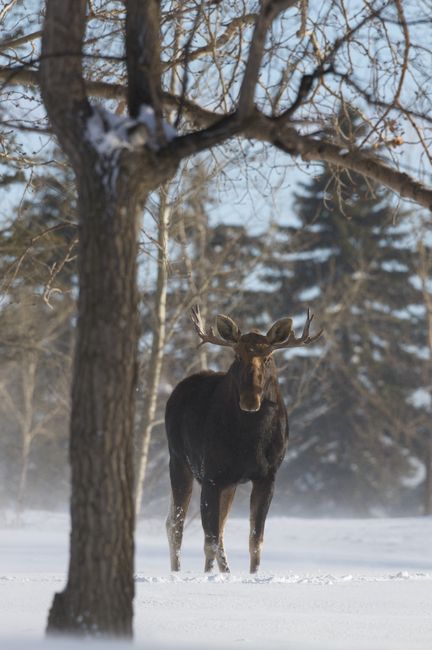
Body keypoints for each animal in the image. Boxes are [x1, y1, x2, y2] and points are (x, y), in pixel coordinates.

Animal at [165, 306, 322, 574]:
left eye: (268, 357)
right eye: (237, 356)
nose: (250, 400)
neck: (250, 442)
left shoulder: (267, 476)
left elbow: (255, 541)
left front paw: (252, 576)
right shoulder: (211, 476)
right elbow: (209, 541)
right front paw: (208, 577)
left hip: (229, 483)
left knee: (214, 529)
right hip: (178, 461)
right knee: (176, 526)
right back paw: (177, 572)